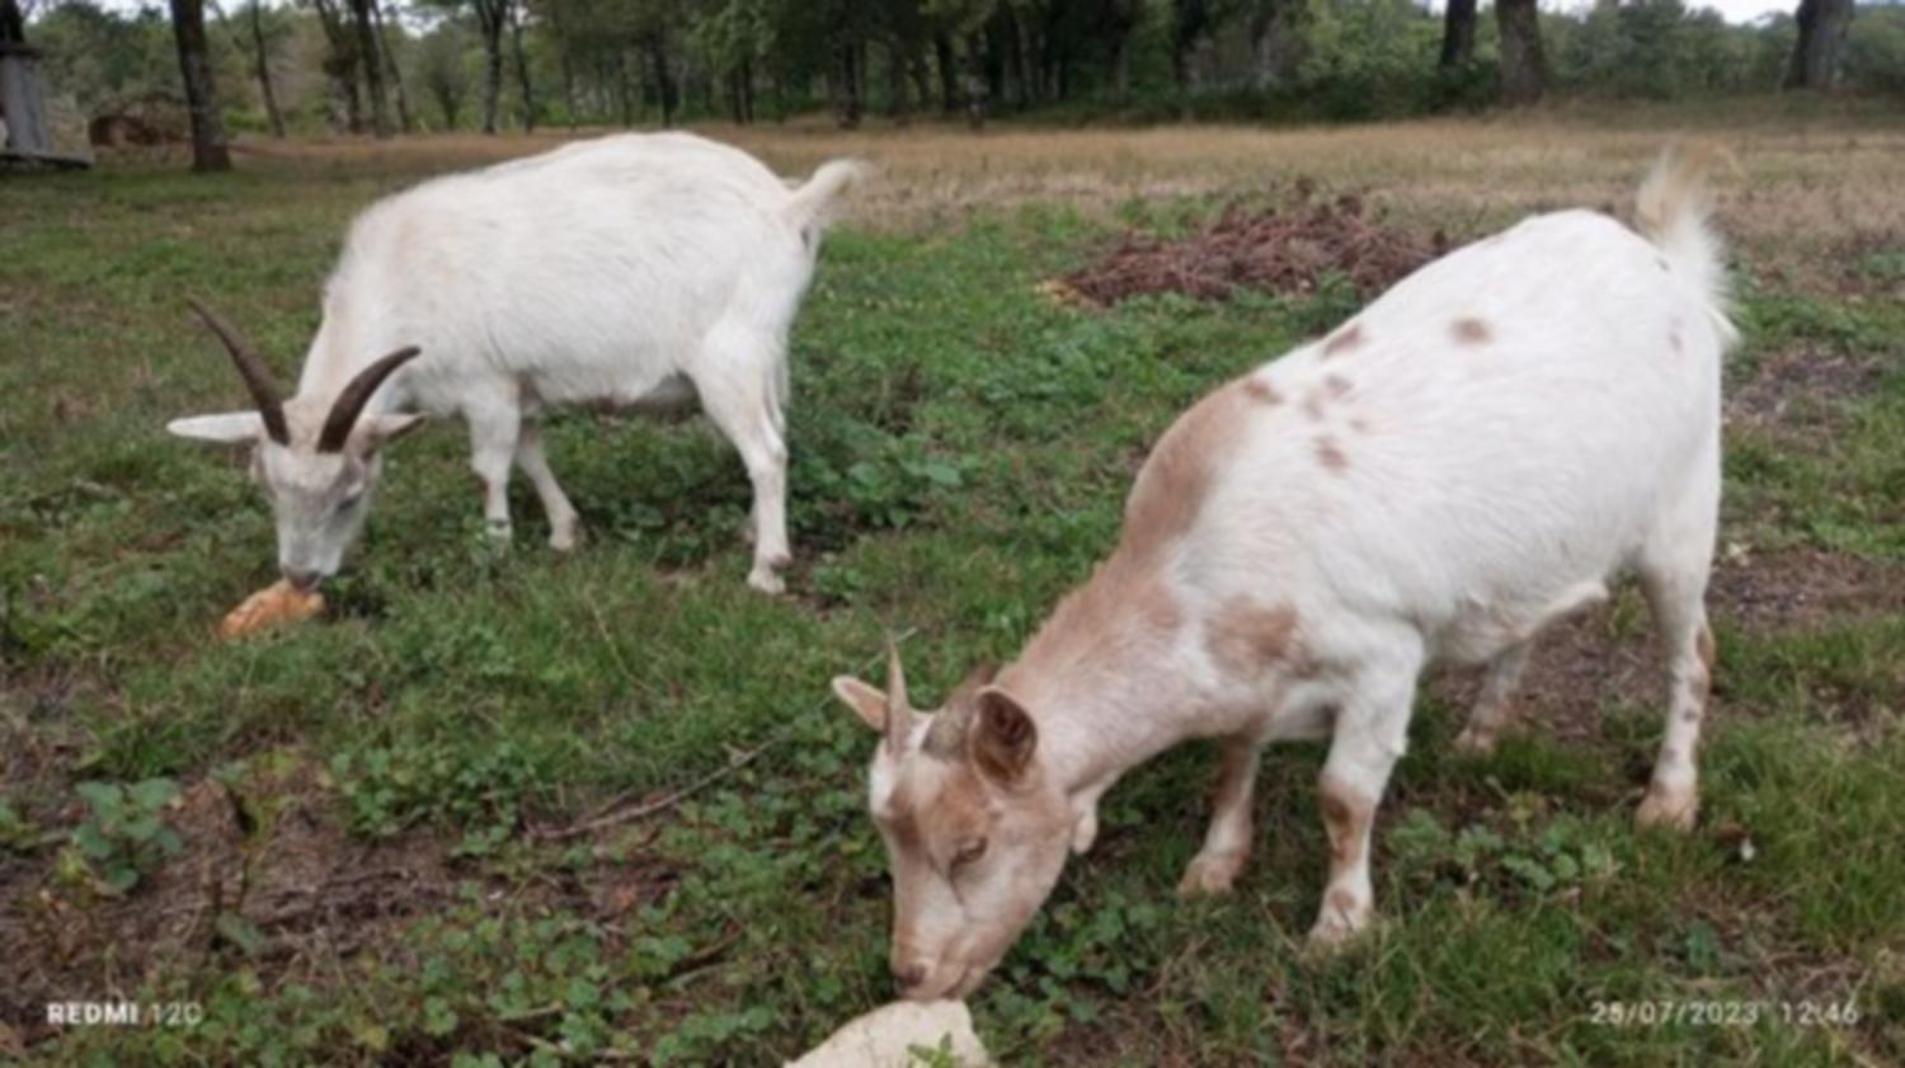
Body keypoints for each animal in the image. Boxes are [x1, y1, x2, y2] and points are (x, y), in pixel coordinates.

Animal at [163, 132, 864, 590]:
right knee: (775, 436)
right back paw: (753, 532)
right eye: (266, 489)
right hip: (764, 356)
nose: (301, 576)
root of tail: (786, 204)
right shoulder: (521, 386)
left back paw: (767, 568)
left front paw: (496, 548)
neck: (403, 279)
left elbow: (491, 468)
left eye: (351, 494)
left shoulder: (486, 387)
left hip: (728, 359)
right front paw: (563, 533)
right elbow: (532, 455)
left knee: (765, 453)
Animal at [826, 145, 1737, 997]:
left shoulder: (1383, 660)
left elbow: (1342, 798)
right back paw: (1482, 734)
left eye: (972, 845)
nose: (910, 976)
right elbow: (1234, 756)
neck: (1190, 566)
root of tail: (1662, 262)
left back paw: (1667, 801)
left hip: (1684, 508)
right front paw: (1213, 866)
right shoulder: (1247, 682)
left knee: (1692, 652)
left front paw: (1339, 926)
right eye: (887, 839)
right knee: (1529, 622)